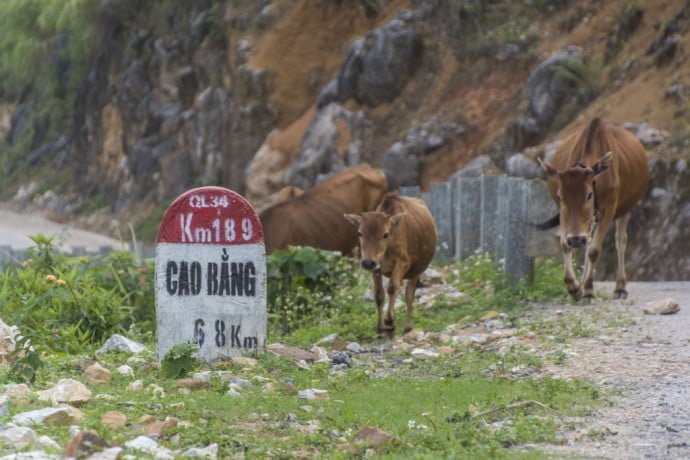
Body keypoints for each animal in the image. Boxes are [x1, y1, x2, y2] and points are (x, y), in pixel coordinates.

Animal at [344, 192, 436, 332]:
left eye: (385, 234)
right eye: (360, 233)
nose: (367, 263)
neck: (386, 251)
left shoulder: (403, 262)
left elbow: (392, 287)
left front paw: (389, 320)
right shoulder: (376, 268)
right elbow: (379, 295)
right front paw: (380, 326)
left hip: (417, 270)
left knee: (409, 295)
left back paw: (407, 326)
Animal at [536, 117, 644, 300]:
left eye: (589, 195)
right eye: (561, 197)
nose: (576, 239)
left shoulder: (609, 209)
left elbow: (594, 250)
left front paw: (587, 290)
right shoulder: (564, 214)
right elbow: (565, 244)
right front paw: (574, 286)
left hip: (625, 209)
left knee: (620, 241)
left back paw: (619, 287)